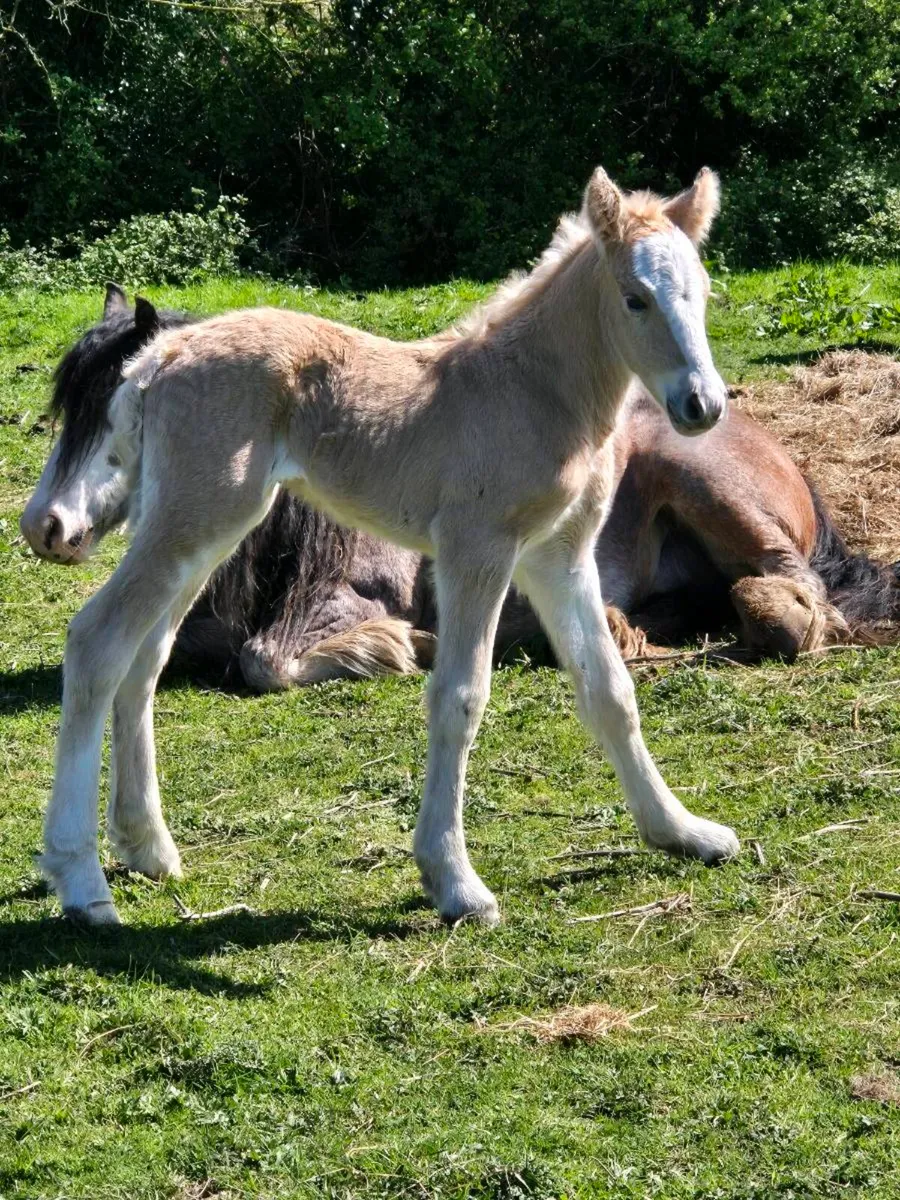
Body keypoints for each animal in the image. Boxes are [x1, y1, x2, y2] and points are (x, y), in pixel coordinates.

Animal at [9, 168, 872, 928]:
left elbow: (608, 689)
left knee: (143, 658)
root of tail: (155, 361)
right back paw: (83, 884)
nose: (701, 405)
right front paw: (456, 885)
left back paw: (149, 849)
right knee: (98, 641)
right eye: (636, 297)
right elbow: (459, 697)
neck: (530, 393)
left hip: (197, 528)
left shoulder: (559, 555)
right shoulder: (475, 551)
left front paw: (682, 832)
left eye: (702, 291)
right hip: (198, 520)